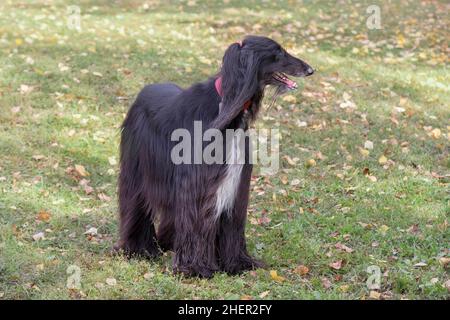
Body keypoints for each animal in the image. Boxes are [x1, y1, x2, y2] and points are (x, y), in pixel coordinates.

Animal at [116, 34, 312, 276]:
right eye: (278, 52)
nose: (310, 69)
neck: (226, 109)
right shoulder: (196, 183)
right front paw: (195, 267)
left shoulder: (235, 183)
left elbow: (231, 224)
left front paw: (237, 264)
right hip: (138, 167)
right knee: (135, 202)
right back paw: (138, 248)